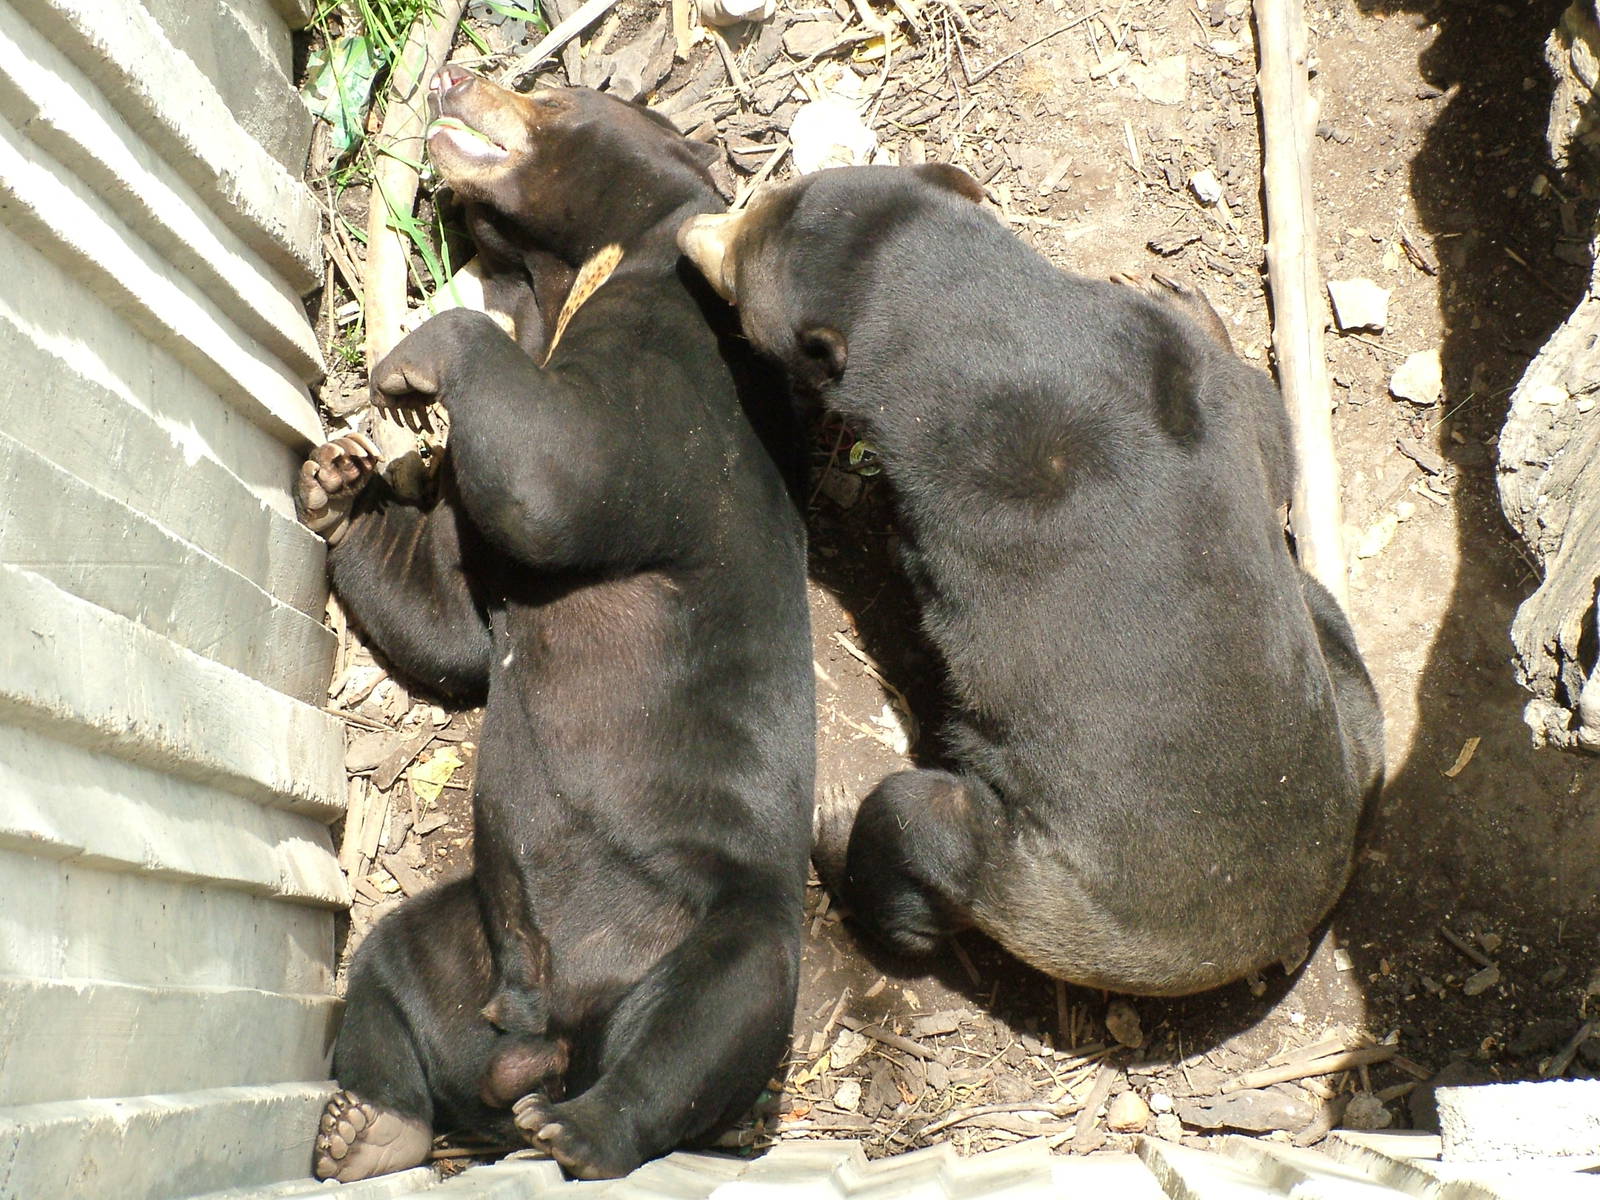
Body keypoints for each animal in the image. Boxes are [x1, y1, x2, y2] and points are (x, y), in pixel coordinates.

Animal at [296, 73, 813, 1182]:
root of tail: (553, 1041)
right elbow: (454, 619)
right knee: (391, 970)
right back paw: (367, 1130)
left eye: (564, 94)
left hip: (725, 925)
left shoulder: (679, 387)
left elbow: (560, 476)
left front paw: (407, 370)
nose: (454, 77)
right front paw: (337, 478)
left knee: (707, 1022)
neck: (566, 280)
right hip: (468, 944)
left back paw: (579, 1130)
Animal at [678, 164, 1383, 998]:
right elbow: (1270, 435)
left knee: (923, 843)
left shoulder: (950, 491)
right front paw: (1193, 303)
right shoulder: (1177, 369)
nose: (690, 228)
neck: (990, 322)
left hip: (1019, 871)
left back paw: (838, 829)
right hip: (1344, 695)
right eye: (764, 199)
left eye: (736, 274)